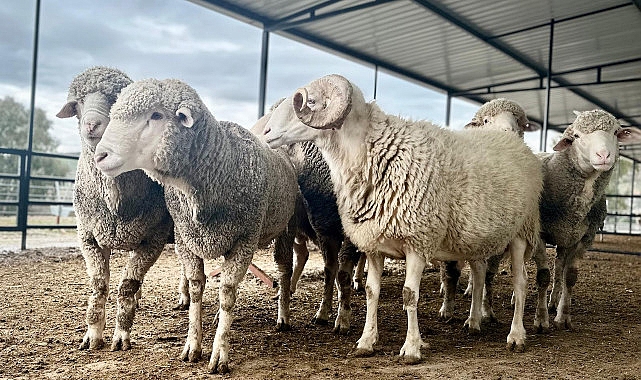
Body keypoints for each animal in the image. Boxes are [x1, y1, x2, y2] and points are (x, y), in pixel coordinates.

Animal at [55, 67, 172, 352]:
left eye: (115, 100)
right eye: (78, 103)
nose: (91, 124)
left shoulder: (154, 238)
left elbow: (127, 286)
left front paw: (121, 336)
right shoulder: (89, 236)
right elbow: (99, 285)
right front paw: (93, 334)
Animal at [92, 78, 300, 374]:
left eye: (157, 115)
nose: (101, 155)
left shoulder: (245, 239)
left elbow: (227, 292)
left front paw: (220, 353)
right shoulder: (187, 239)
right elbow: (196, 288)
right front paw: (192, 345)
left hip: (286, 227)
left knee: (284, 271)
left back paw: (283, 316)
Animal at [258, 74, 544, 362]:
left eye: (311, 102)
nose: (265, 133)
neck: (371, 151)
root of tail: (516, 143)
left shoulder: (418, 241)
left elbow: (409, 295)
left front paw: (411, 348)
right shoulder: (373, 245)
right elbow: (372, 292)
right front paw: (366, 341)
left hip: (522, 231)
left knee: (520, 282)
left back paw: (516, 336)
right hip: (475, 238)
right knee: (480, 274)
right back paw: (473, 322)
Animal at [536, 109, 640, 330]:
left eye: (616, 132)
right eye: (576, 136)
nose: (604, 155)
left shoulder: (585, 237)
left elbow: (570, 277)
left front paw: (563, 318)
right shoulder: (538, 235)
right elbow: (543, 276)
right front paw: (540, 320)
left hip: (566, 239)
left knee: (559, 267)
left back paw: (553, 302)